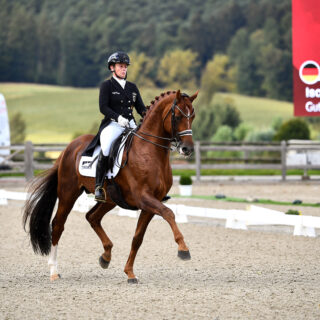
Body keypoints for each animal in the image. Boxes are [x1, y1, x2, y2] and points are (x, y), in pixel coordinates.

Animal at [23, 89, 198, 282]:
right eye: (177, 116)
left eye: (192, 116)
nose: (187, 149)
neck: (150, 152)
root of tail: (68, 148)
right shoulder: (144, 198)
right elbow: (169, 213)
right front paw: (183, 249)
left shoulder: (151, 203)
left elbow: (137, 238)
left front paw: (130, 273)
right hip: (68, 193)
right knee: (58, 225)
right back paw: (54, 271)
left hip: (110, 199)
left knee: (92, 217)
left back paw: (105, 257)